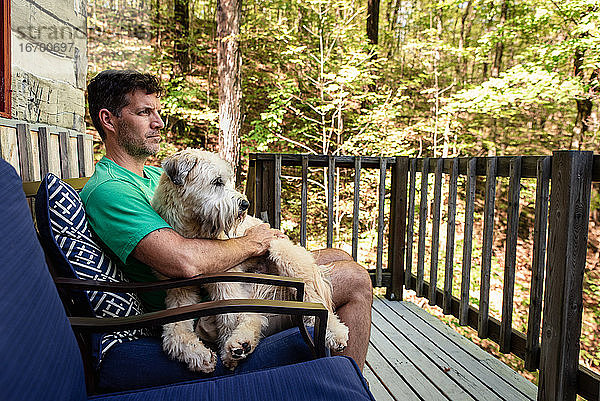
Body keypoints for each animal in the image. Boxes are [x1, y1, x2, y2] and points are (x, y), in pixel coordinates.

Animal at [151, 149, 346, 372]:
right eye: (217, 182)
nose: (245, 204)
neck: (193, 231)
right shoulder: (180, 291)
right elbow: (174, 331)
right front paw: (198, 355)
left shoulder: (226, 281)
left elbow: (228, 318)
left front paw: (227, 354)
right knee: (256, 317)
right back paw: (241, 343)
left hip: (285, 255)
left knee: (314, 298)